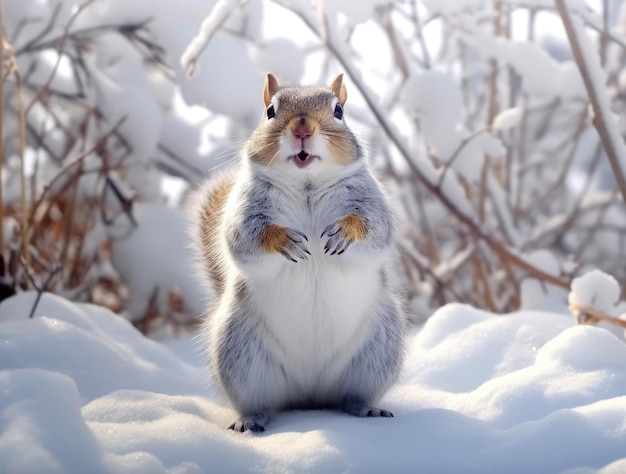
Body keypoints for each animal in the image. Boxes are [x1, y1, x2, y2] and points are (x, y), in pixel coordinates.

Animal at [190, 73, 404, 434]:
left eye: (339, 111)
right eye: (270, 111)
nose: (302, 130)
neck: (307, 185)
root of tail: (309, 393)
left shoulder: (371, 203)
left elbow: (374, 228)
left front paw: (344, 231)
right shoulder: (246, 210)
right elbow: (246, 237)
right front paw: (284, 240)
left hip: (378, 353)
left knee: (352, 395)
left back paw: (365, 409)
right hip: (241, 356)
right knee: (259, 401)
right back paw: (251, 419)